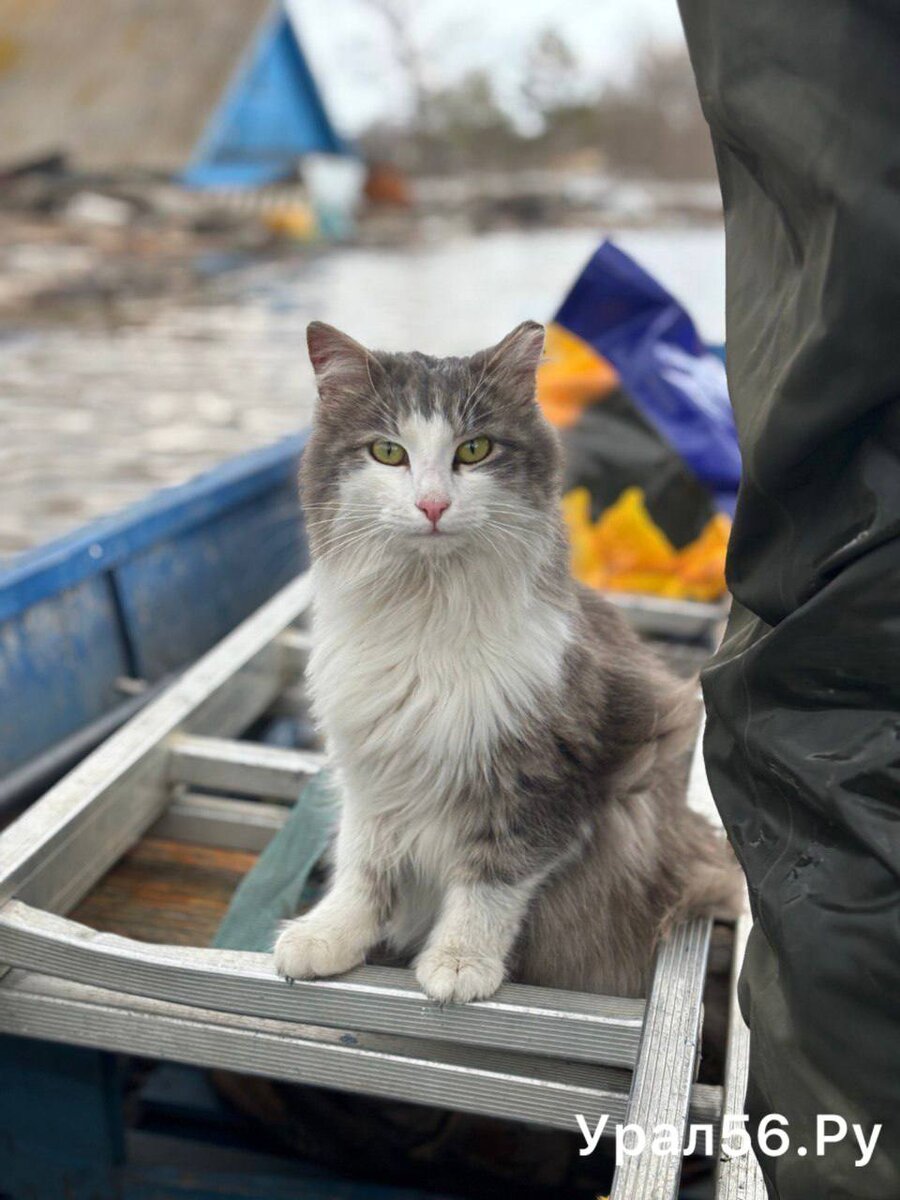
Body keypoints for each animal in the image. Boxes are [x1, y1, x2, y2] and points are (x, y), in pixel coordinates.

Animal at [274, 319, 739, 1003]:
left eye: (474, 450)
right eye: (388, 452)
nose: (433, 505)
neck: (428, 618)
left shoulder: (550, 775)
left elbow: (492, 880)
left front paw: (459, 962)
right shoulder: (372, 767)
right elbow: (364, 867)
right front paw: (329, 934)